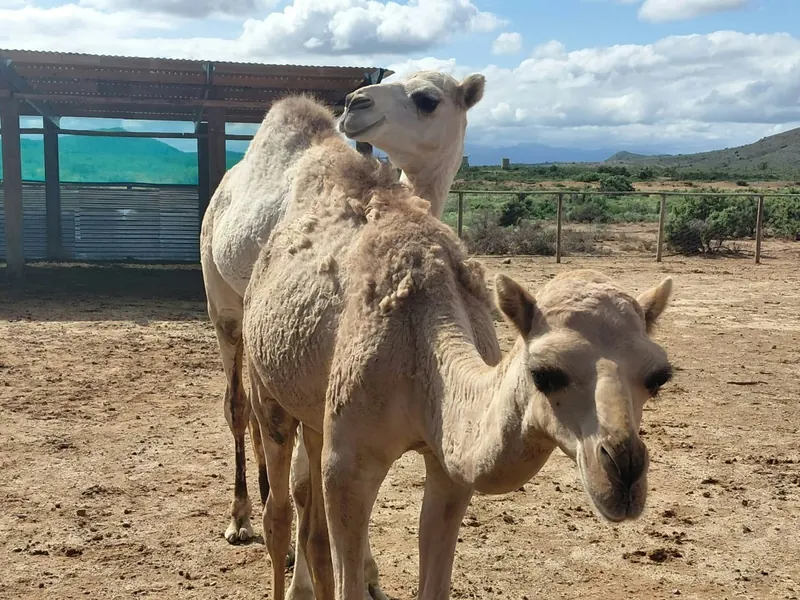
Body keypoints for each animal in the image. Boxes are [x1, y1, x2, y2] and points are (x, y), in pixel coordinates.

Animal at [200, 70, 485, 595]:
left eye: (427, 99)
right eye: (389, 77)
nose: (355, 102)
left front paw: (369, 576)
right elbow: (303, 483)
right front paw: (303, 585)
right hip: (221, 298)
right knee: (237, 407)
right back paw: (241, 518)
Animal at [240, 95, 676, 600]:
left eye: (658, 377)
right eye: (544, 373)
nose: (624, 473)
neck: (421, 352)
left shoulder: (448, 469)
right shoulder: (347, 464)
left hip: (312, 409)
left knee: (310, 524)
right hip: (264, 387)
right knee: (278, 510)